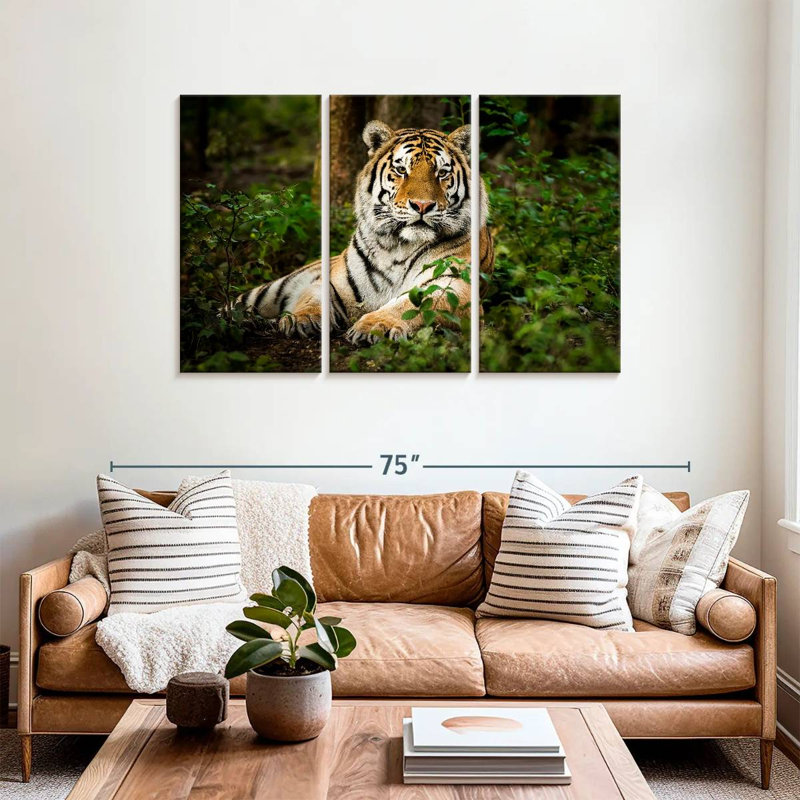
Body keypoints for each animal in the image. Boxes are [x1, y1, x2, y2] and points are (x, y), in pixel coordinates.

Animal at [236, 120, 494, 343]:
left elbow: (412, 305)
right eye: (401, 170)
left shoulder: (454, 286)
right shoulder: (334, 282)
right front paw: (302, 319)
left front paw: (376, 326)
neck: (399, 246)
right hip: (268, 292)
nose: (422, 206)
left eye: (441, 173)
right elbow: (313, 296)